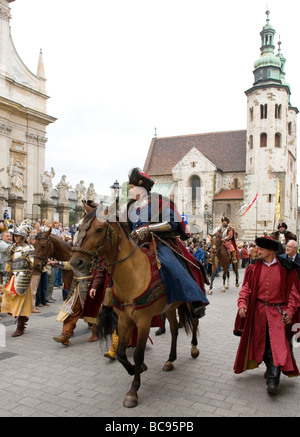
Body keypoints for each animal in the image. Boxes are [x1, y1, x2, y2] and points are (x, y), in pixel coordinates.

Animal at [69, 203, 203, 408]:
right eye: (78, 228)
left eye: (99, 229)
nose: (76, 262)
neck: (133, 273)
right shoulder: (124, 320)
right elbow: (121, 353)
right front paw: (135, 369)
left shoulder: (143, 321)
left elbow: (139, 354)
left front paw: (133, 390)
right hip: (170, 308)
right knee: (174, 329)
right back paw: (170, 360)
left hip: (188, 301)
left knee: (194, 321)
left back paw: (194, 348)